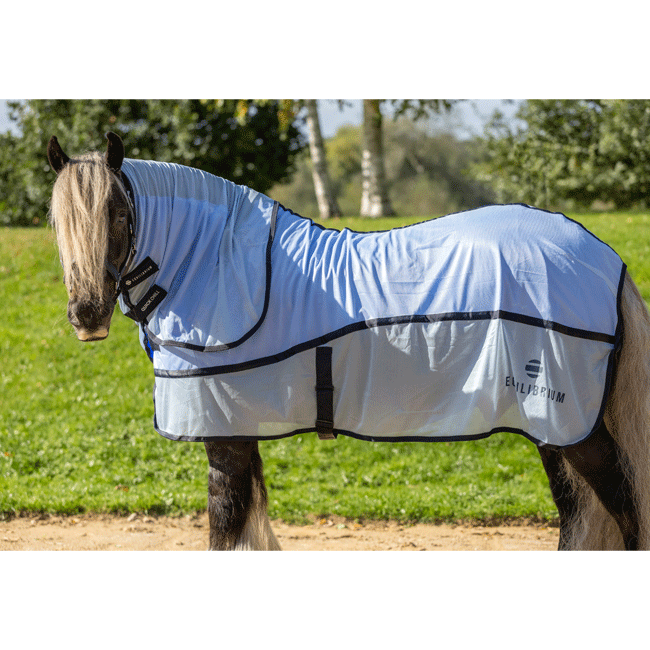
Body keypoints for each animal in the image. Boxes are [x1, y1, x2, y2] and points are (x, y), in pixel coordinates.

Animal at [46, 131, 650, 551]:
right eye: (56, 222)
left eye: (117, 214)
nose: (87, 315)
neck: (216, 267)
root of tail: (606, 260)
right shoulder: (240, 429)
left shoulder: (224, 438)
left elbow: (225, 528)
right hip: (554, 432)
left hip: (570, 426)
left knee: (624, 508)